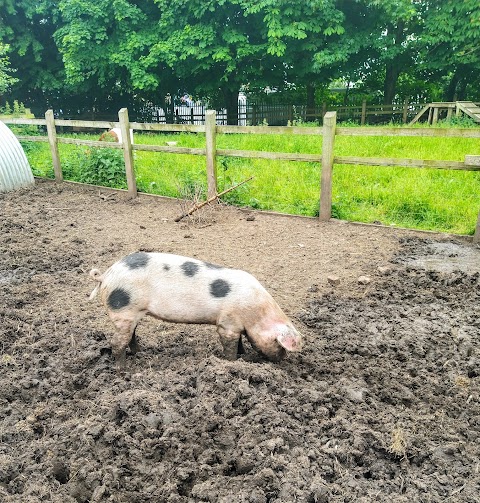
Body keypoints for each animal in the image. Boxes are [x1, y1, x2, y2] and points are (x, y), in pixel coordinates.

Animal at [88, 254, 302, 368]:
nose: (280, 362)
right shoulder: (227, 323)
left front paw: (242, 354)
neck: (257, 312)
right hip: (123, 310)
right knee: (117, 342)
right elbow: (230, 344)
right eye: (281, 346)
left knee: (131, 336)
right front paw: (232, 361)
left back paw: (139, 353)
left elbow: (240, 341)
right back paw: (124, 371)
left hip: (132, 313)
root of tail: (106, 276)